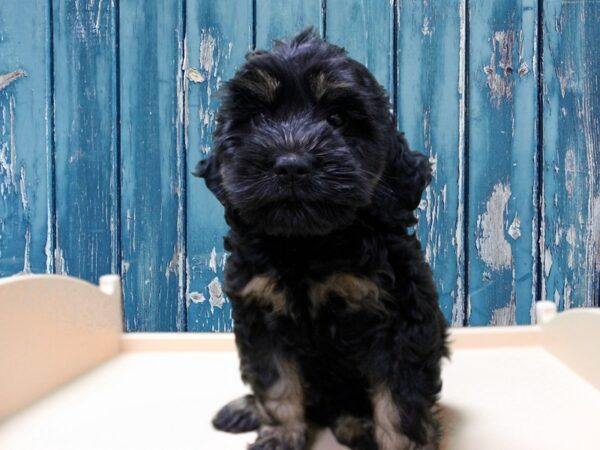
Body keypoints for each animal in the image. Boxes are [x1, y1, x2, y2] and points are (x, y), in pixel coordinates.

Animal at [195, 28, 448, 450]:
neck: (308, 244)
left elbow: (399, 401)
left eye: (337, 119)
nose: (291, 165)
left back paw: (356, 424)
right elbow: (276, 382)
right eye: (260, 118)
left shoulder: (401, 321)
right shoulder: (262, 315)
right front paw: (280, 434)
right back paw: (247, 408)